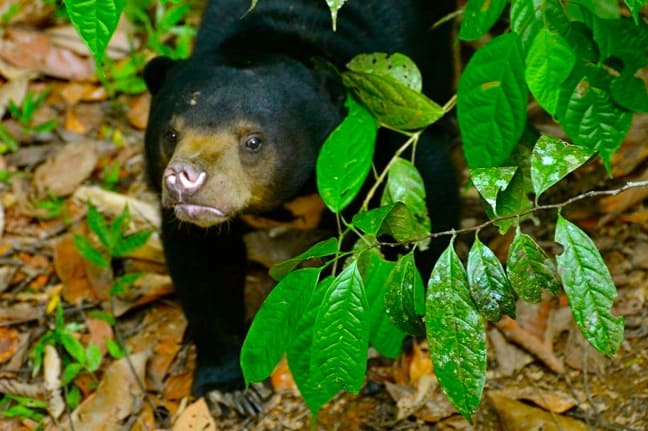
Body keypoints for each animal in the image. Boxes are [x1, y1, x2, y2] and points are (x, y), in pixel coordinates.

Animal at [144, 0, 458, 416]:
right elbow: (202, 265)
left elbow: (428, 194)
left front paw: (397, 326)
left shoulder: (381, 132)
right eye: (170, 134)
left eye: (253, 141)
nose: (184, 179)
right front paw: (229, 388)